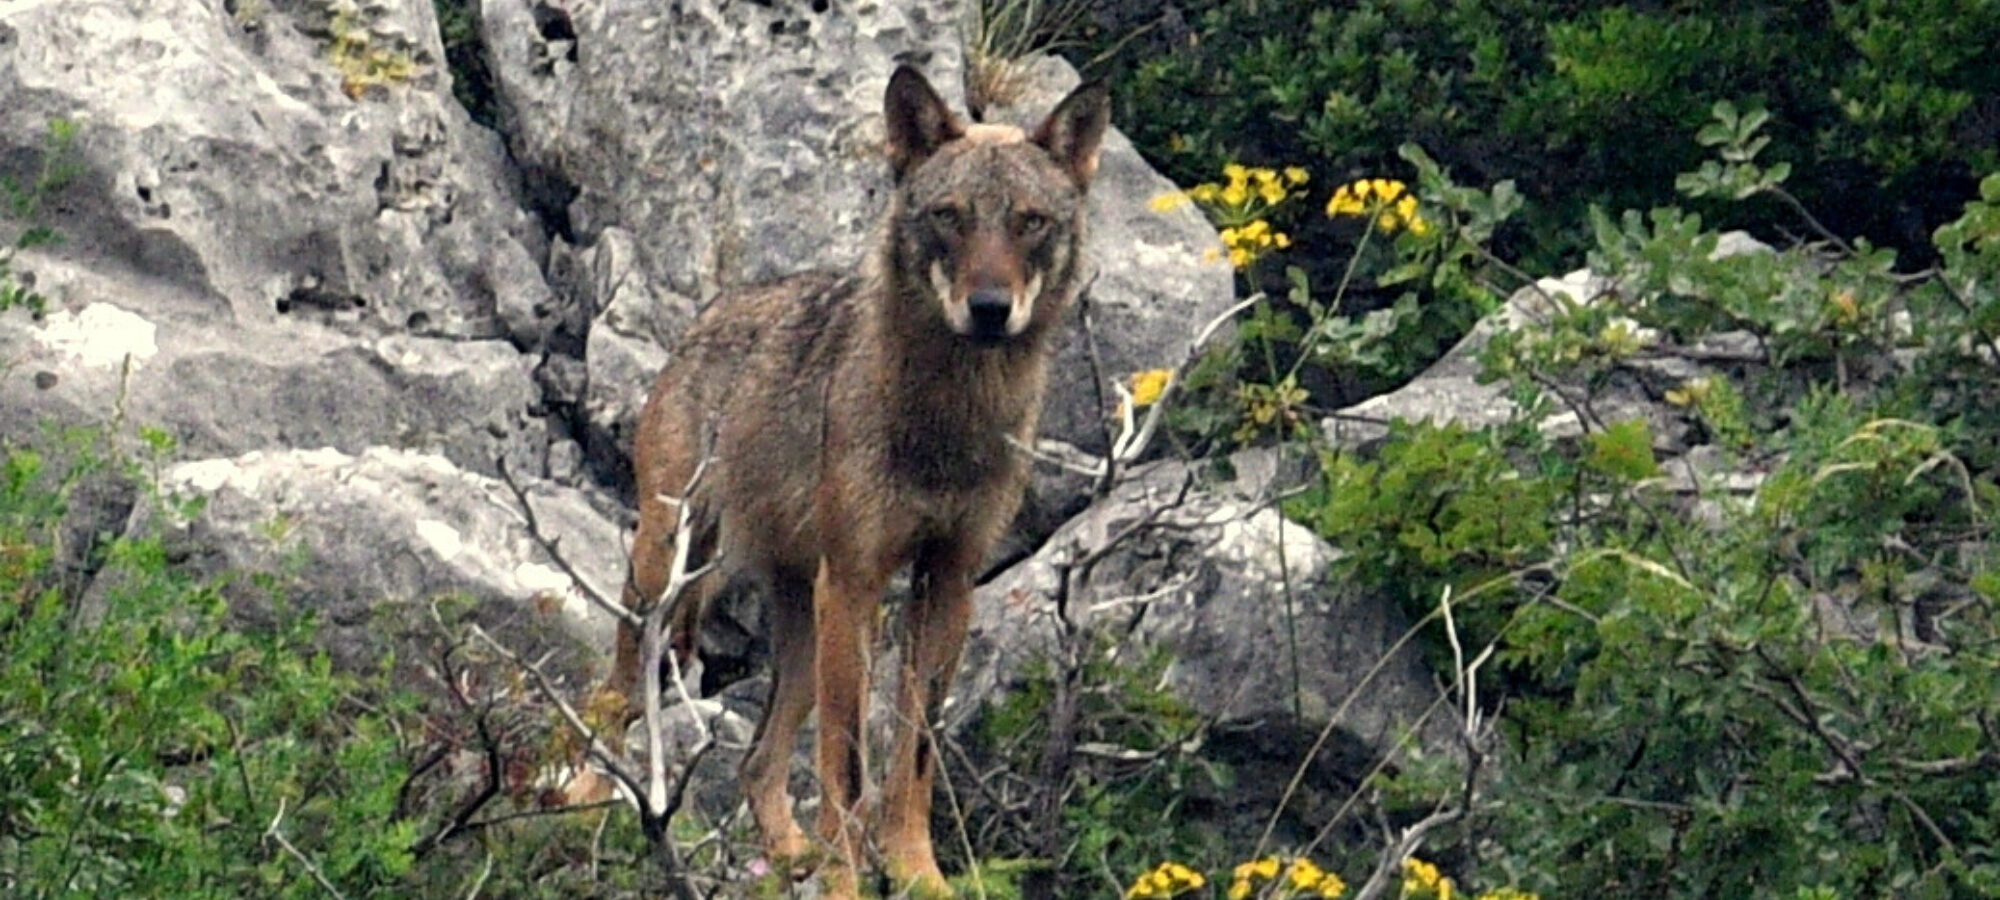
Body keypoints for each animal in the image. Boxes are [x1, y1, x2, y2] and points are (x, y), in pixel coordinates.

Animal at [612, 66, 1109, 897]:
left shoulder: (947, 583)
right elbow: (845, 767)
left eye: (1031, 222)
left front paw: (917, 874)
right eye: (949, 216)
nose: (989, 309)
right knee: (615, 705)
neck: (947, 423)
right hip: (672, 578)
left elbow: (913, 757)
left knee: (757, 766)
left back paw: (788, 863)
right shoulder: (856, 583)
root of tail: (712, 312)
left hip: (799, 626)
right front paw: (850, 880)